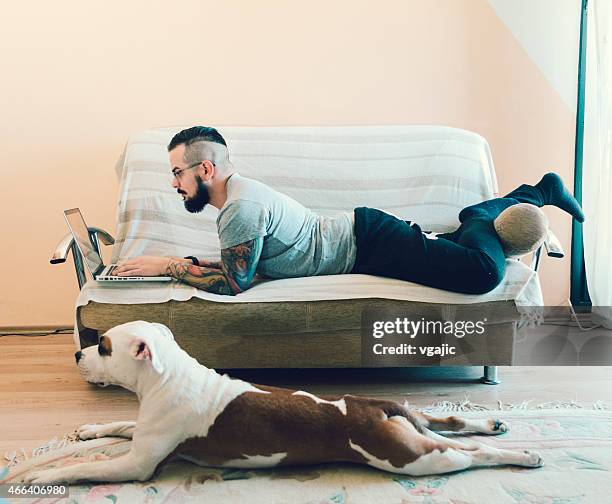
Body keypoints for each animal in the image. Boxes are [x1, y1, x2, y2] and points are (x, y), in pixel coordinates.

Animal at [25, 320, 540, 486]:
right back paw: (493, 426)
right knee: (450, 419)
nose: (78, 353)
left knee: (472, 456)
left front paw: (42, 476)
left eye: (104, 346)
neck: (165, 376)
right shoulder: (144, 433)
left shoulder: (136, 465)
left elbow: (85, 467)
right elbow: (119, 425)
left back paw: (523, 455)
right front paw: (90, 431)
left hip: (411, 458)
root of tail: (374, 407)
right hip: (411, 419)